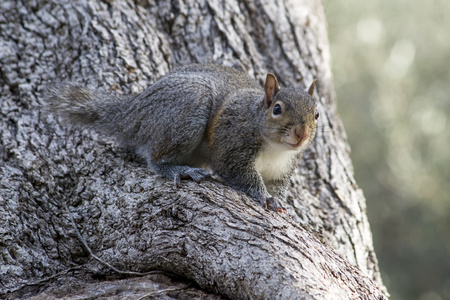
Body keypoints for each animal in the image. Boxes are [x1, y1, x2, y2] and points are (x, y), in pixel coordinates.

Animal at [45, 64, 318, 212]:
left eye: (316, 114)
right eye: (277, 109)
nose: (301, 134)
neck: (276, 148)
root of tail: (133, 112)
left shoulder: (282, 170)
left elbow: (278, 187)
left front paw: (277, 200)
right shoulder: (231, 142)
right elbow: (238, 172)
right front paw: (263, 195)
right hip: (188, 109)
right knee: (156, 159)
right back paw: (180, 170)